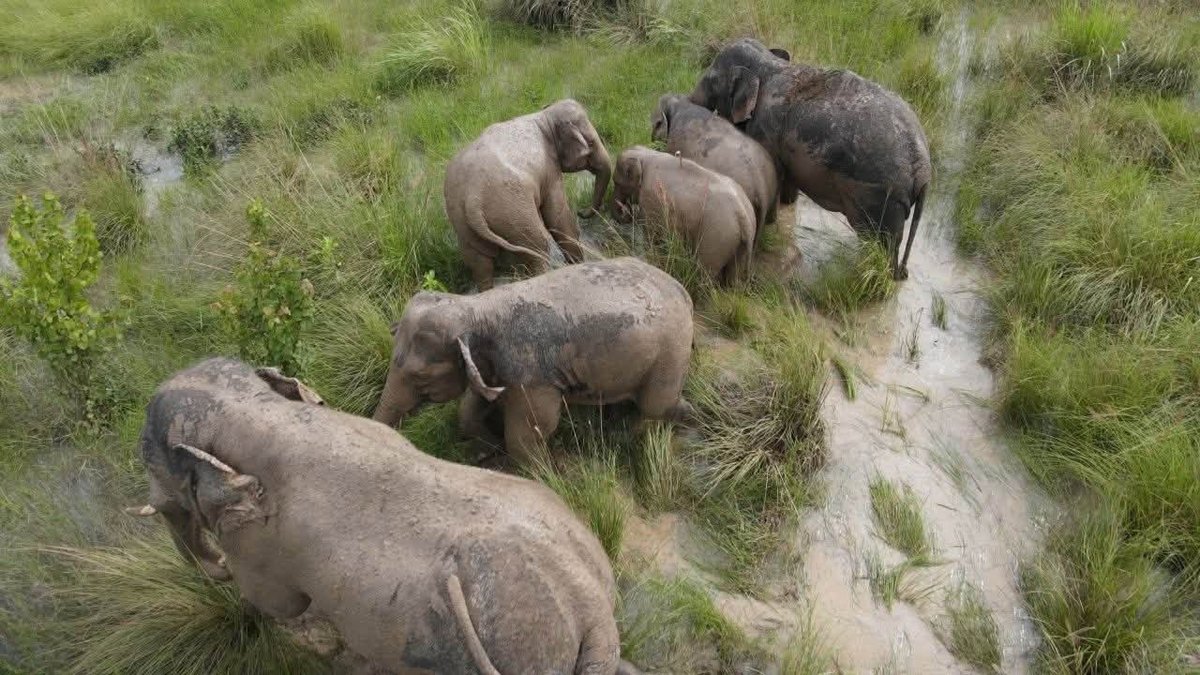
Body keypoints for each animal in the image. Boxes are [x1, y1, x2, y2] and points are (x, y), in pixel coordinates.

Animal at [126, 358, 641, 674]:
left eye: (152, 462)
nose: (213, 563)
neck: (257, 409)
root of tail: (590, 611)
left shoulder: (260, 548)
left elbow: (274, 603)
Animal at [373, 257, 694, 465]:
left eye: (421, 377)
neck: (477, 308)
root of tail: (683, 291)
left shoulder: (531, 376)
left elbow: (529, 433)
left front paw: (543, 473)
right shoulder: (496, 370)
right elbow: (469, 409)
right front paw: (488, 449)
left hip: (671, 350)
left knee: (656, 406)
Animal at [444, 98, 613, 290]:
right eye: (590, 144)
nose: (582, 212)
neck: (543, 117)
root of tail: (473, 198)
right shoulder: (550, 171)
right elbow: (558, 217)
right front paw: (578, 264)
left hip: (463, 222)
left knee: (480, 262)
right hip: (513, 210)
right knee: (537, 248)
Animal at [611, 145, 756, 284]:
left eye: (617, 182)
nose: (627, 210)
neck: (647, 154)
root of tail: (744, 217)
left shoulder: (652, 199)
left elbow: (652, 233)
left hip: (717, 235)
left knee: (705, 271)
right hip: (737, 241)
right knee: (733, 274)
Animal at [690, 38, 931, 280]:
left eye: (711, 80)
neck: (768, 64)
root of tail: (923, 169)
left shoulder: (766, 131)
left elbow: (774, 172)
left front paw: (771, 221)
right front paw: (787, 204)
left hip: (881, 198)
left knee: (880, 243)